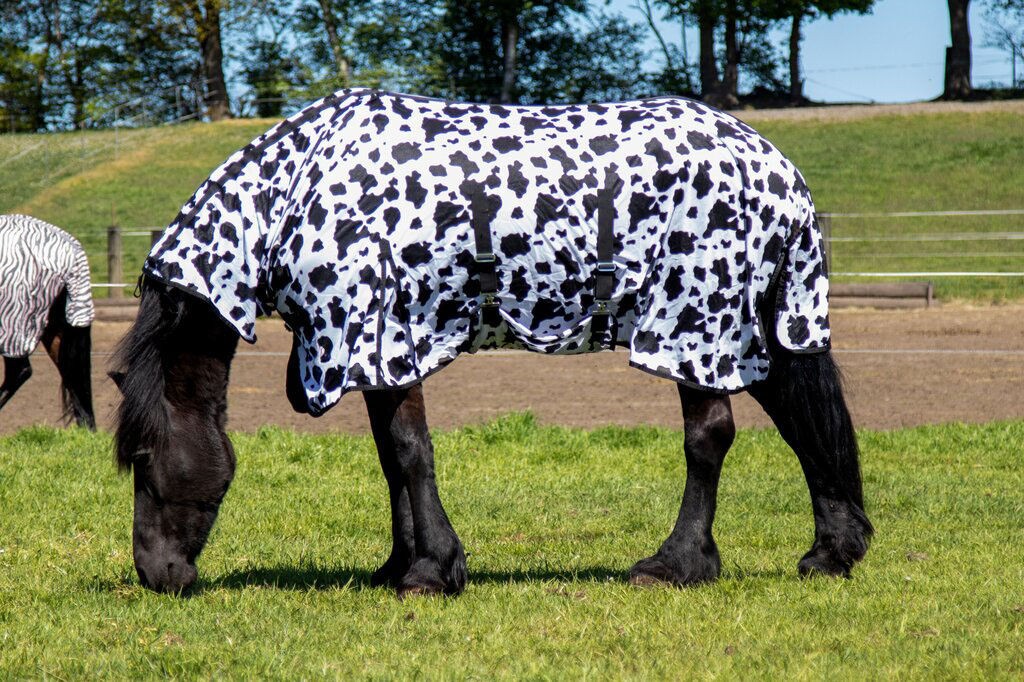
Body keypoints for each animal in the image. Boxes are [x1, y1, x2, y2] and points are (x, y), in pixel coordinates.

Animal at [112, 89, 872, 595]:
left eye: (143, 458)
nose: (156, 574)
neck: (296, 192)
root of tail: (776, 166)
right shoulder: (380, 352)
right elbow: (392, 457)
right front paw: (400, 563)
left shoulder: (382, 333)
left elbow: (411, 452)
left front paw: (430, 571)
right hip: (756, 329)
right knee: (805, 424)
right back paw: (831, 552)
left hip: (692, 326)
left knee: (709, 438)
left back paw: (677, 564)